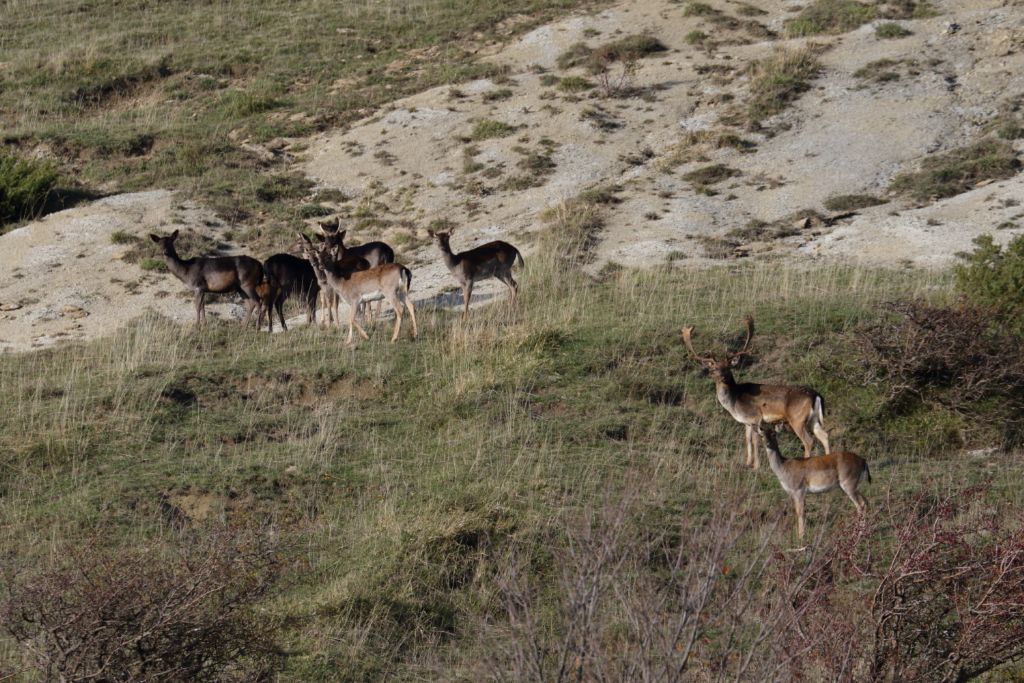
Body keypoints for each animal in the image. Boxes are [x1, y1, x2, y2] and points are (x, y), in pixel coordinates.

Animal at [679, 317, 831, 471]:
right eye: (715, 369)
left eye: (728, 367)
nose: (723, 378)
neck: (734, 401)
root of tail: (816, 395)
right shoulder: (746, 422)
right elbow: (747, 440)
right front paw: (747, 463)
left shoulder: (755, 417)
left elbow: (755, 441)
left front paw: (756, 466)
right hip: (813, 419)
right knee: (824, 435)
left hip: (797, 418)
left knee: (809, 440)